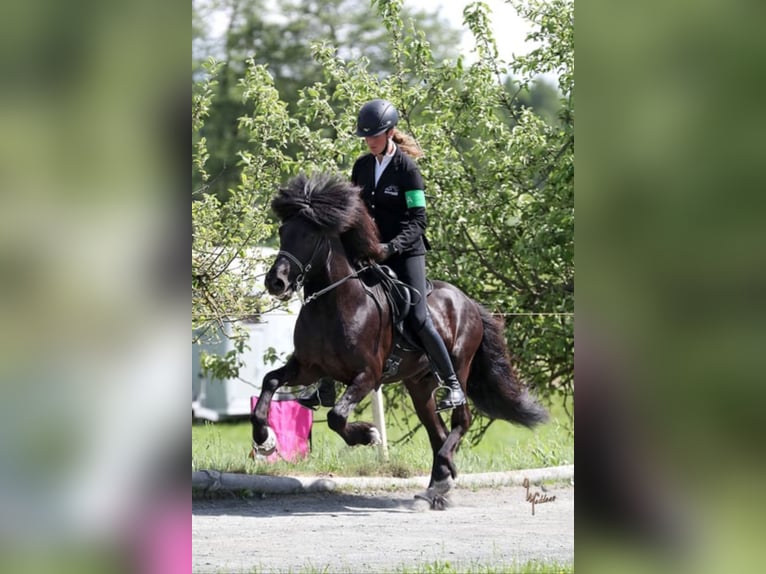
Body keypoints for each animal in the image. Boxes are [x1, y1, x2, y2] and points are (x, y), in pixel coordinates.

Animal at [251, 172, 548, 509]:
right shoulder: (308, 367)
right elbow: (270, 382)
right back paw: (438, 485)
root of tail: (469, 302)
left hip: (459, 366)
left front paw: (368, 435)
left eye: (310, 235)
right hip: (419, 385)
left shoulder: (367, 375)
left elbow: (337, 416)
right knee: (438, 432)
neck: (334, 304)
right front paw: (265, 440)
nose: (276, 282)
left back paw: (442, 473)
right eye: (283, 231)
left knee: (461, 419)